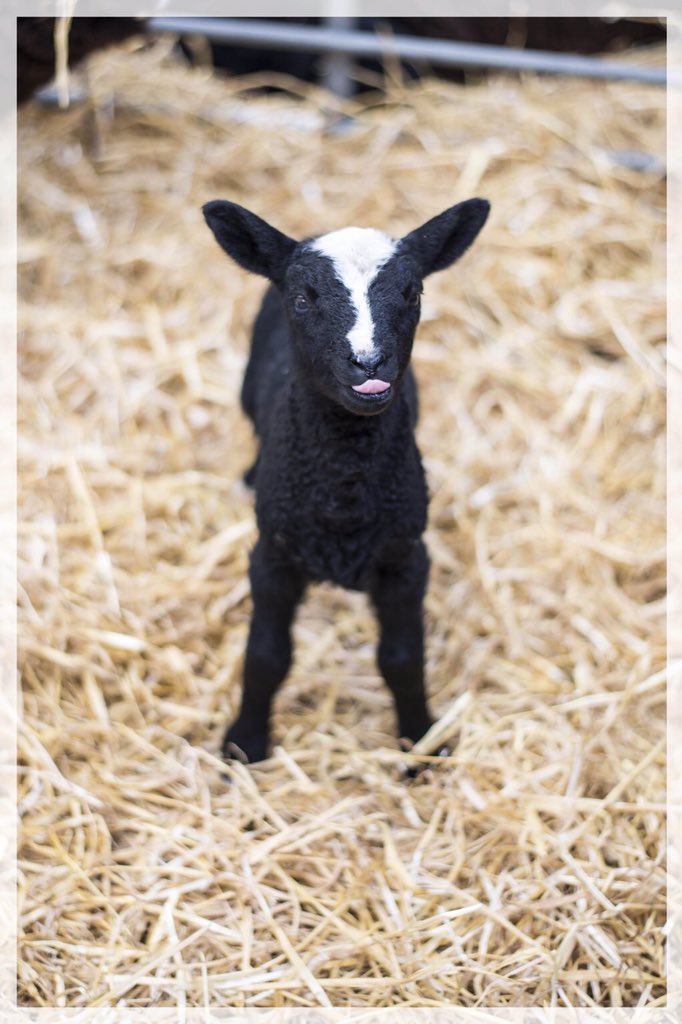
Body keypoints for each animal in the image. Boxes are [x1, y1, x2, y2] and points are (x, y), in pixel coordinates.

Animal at [203, 197, 490, 764]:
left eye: (412, 292)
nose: (369, 364)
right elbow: (266, 655)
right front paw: (245, 744)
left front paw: (420, 743)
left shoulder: (405, 557)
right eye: (301, 299)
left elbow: (402, 657)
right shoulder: (272, 555)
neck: (344, 490)